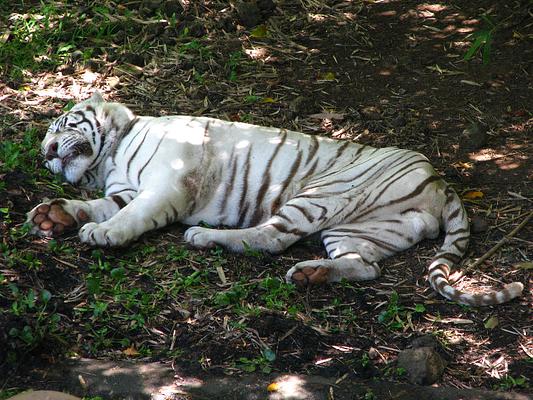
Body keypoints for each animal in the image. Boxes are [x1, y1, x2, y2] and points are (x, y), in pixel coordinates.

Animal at [27, 93, 520, 306]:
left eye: (62, 125)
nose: (47, 153)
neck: (110, 158)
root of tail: (439, 180)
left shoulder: (165, 185)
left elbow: (132, 215)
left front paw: (105, 233)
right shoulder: (123, 189)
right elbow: (100, 205)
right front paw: (55, 215)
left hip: (322, 192)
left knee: (271, 238)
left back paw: (204, 237)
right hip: (360, 230)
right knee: (366, 267)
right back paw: (313, 275)